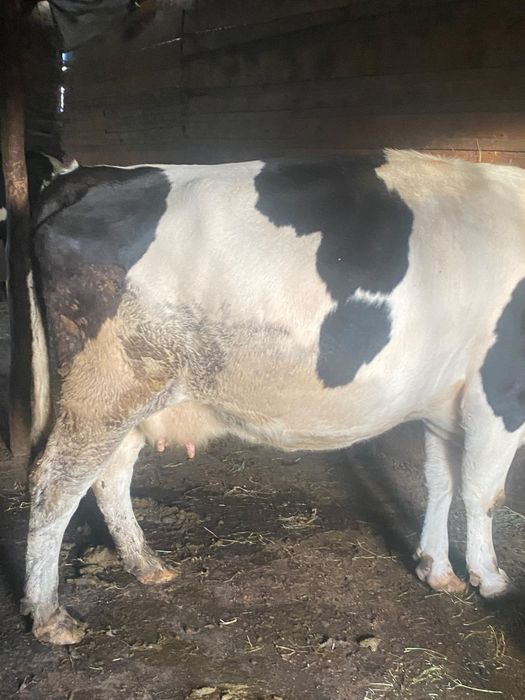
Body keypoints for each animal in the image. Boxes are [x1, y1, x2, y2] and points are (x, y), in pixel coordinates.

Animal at [21, 149, 525, 645]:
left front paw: (437, 569)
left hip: (130, 394)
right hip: (104, 387)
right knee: (55, 483)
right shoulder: (500, 395)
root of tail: (89, 174)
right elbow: (483, 493)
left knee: (110, 475)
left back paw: (146, 565)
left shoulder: (448, 405)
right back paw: (50, 616)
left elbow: (441, 483)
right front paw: (491, 579)